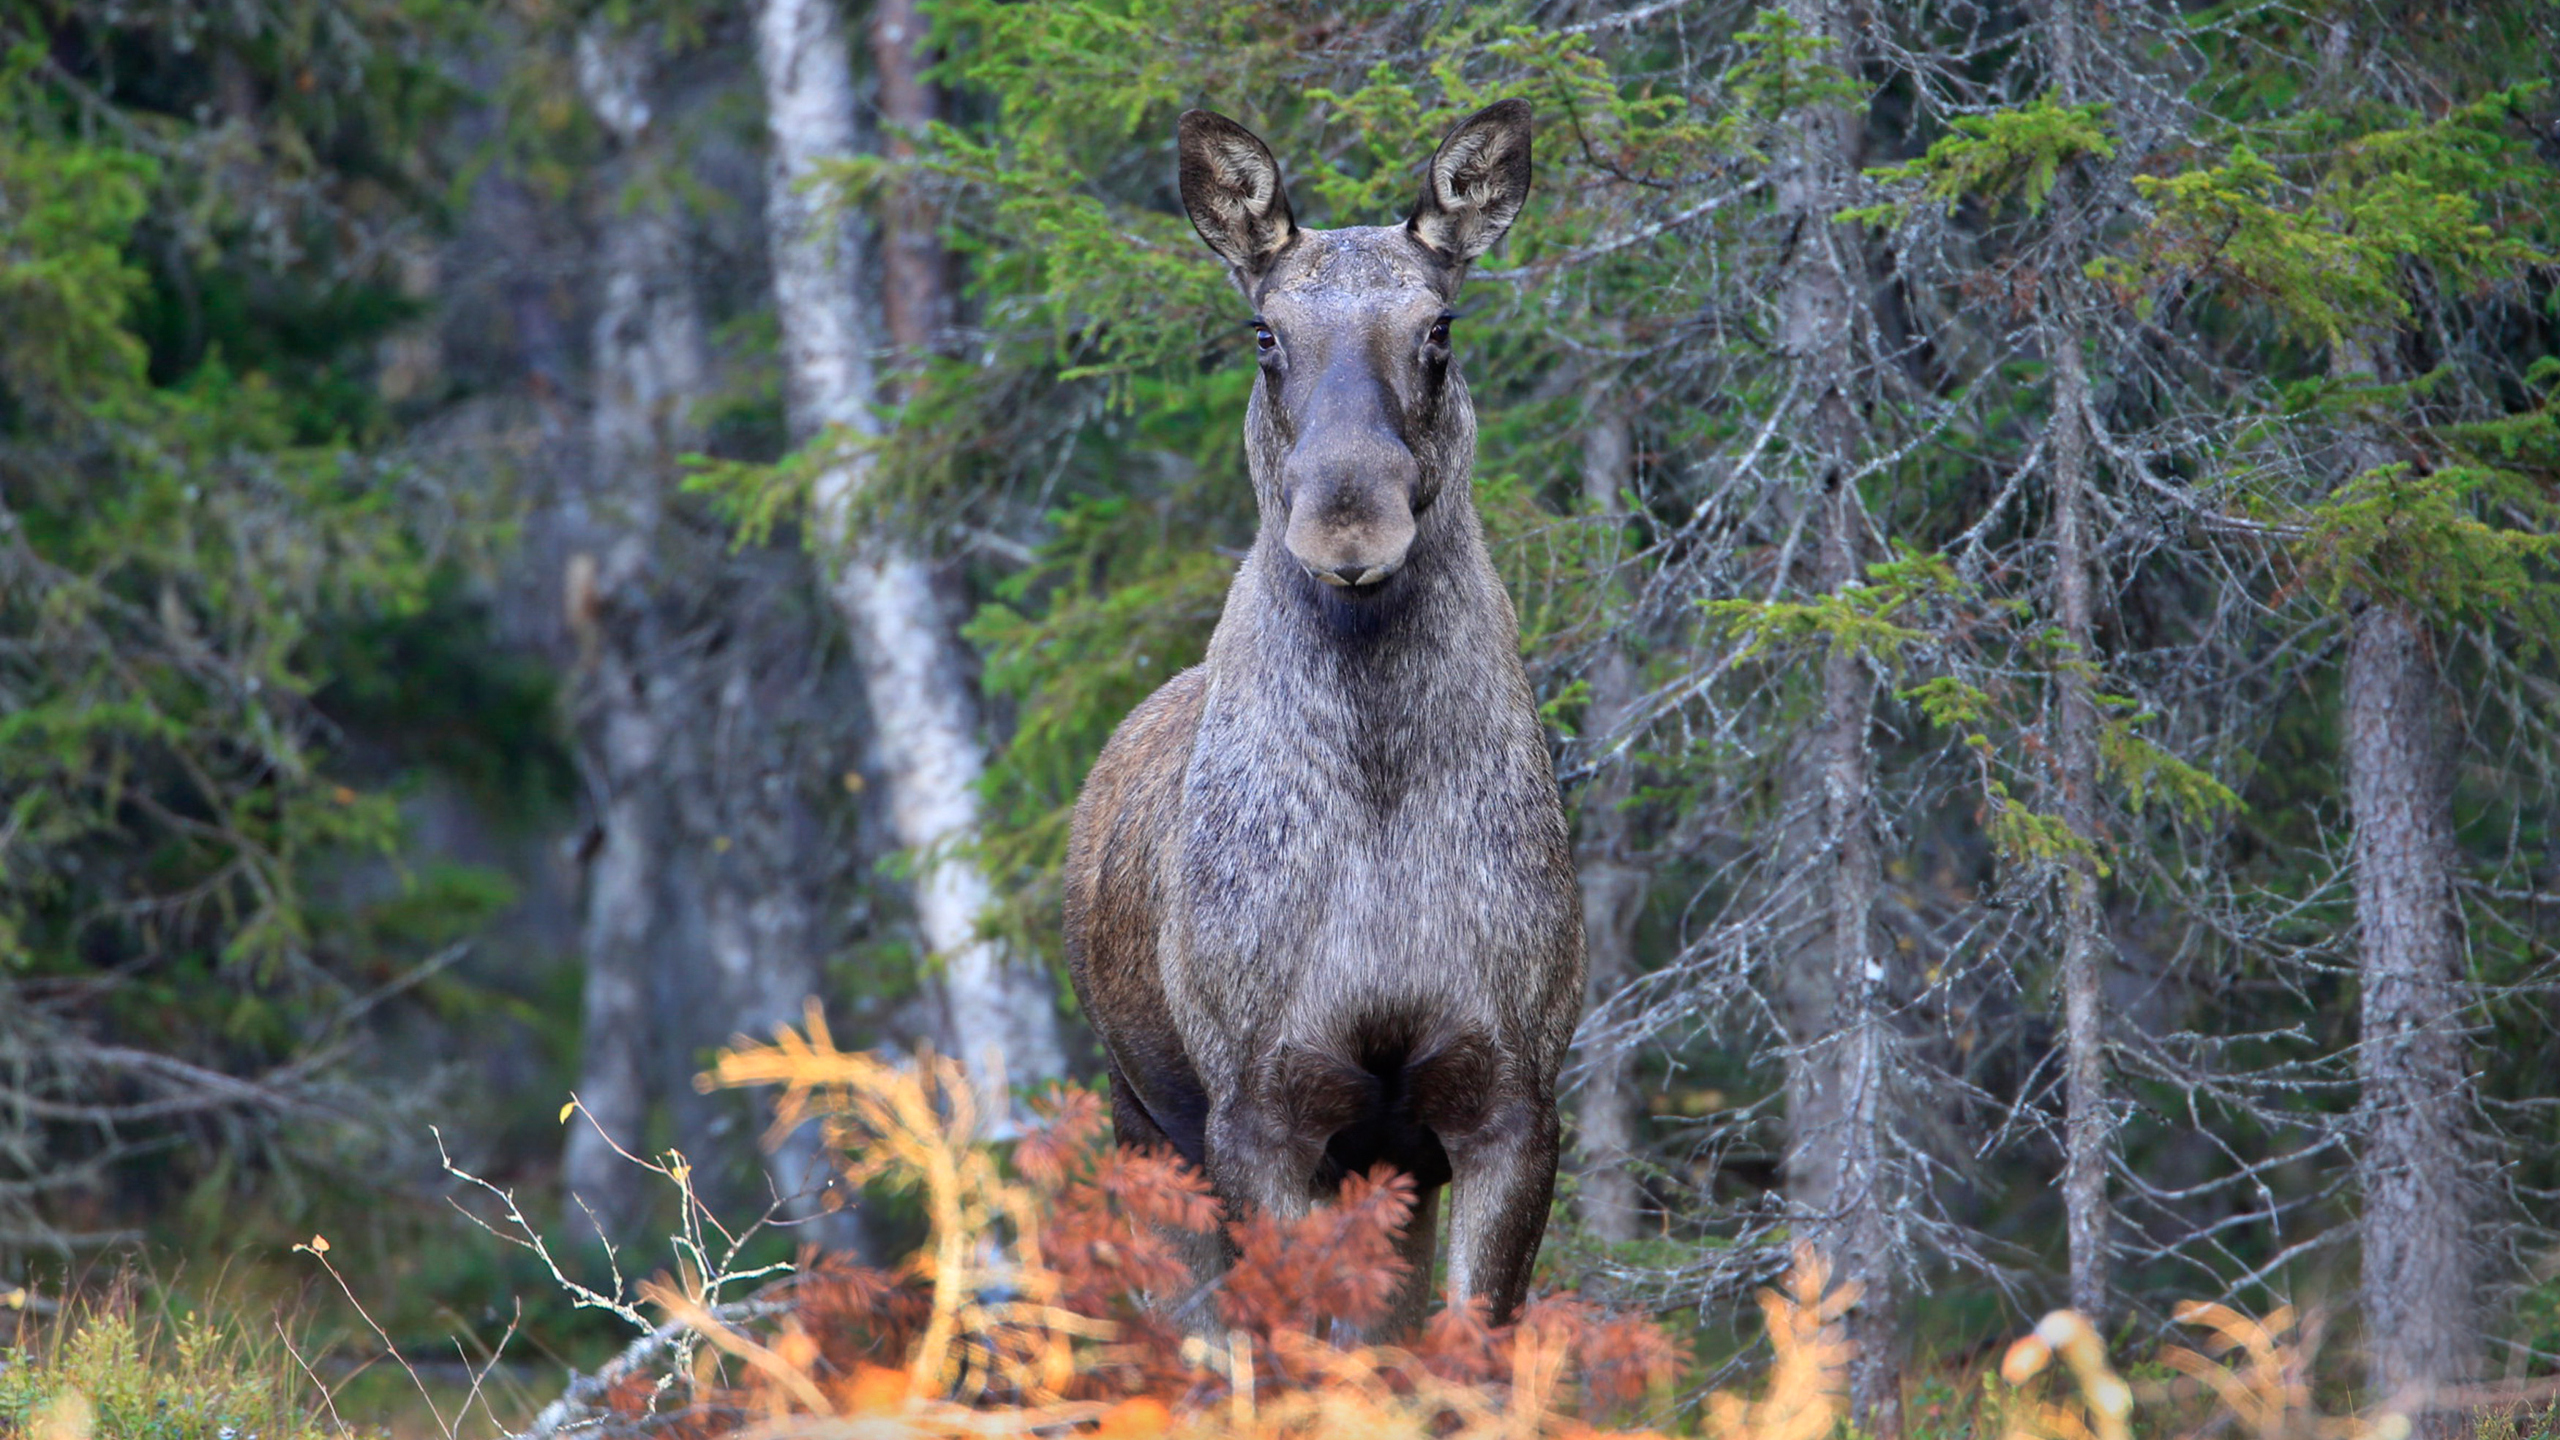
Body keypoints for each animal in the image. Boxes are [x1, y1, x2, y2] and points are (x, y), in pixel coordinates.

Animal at [1061, 100, 1585, 1334]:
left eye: (1439, 329)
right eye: (1264, 334)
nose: (1349, 529)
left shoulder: (1507, 1100)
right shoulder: (1260, 1110)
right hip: (1143, 1127)